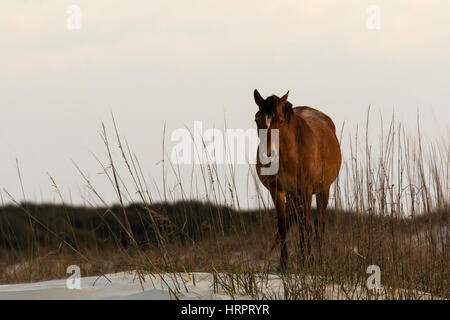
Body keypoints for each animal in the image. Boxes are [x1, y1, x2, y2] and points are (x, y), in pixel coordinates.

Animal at [253, 89, 342, 268]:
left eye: (280, 121)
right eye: (257, 120)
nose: (268, 155)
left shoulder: (306, 190)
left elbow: (306, 225)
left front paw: (309, 260)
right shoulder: (277, 190)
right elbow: (283, 225)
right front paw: (283, 263)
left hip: (323, 190)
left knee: (318, 224)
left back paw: (317, 258)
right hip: (294, 194)